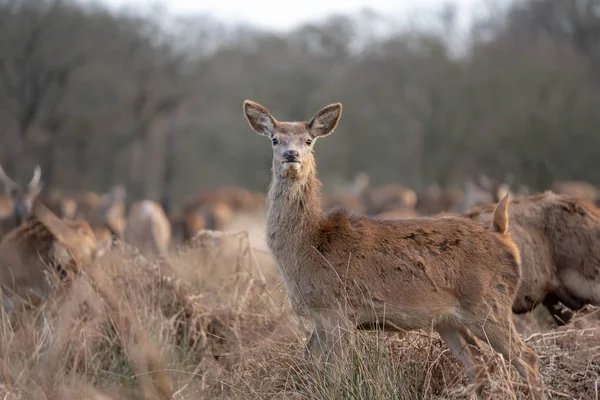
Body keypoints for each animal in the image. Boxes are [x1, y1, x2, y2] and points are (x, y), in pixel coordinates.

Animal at [243, 100, 544, 400]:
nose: (291, 154)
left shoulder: (339, 311)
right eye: (275, 139)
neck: (309, 246)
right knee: (479, 365)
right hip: (449, 320)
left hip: (489, 304)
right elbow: (309, 367)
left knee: (527, 357)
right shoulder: (319, 317)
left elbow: (334, 379)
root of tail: (503, 236)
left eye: (308, 140)